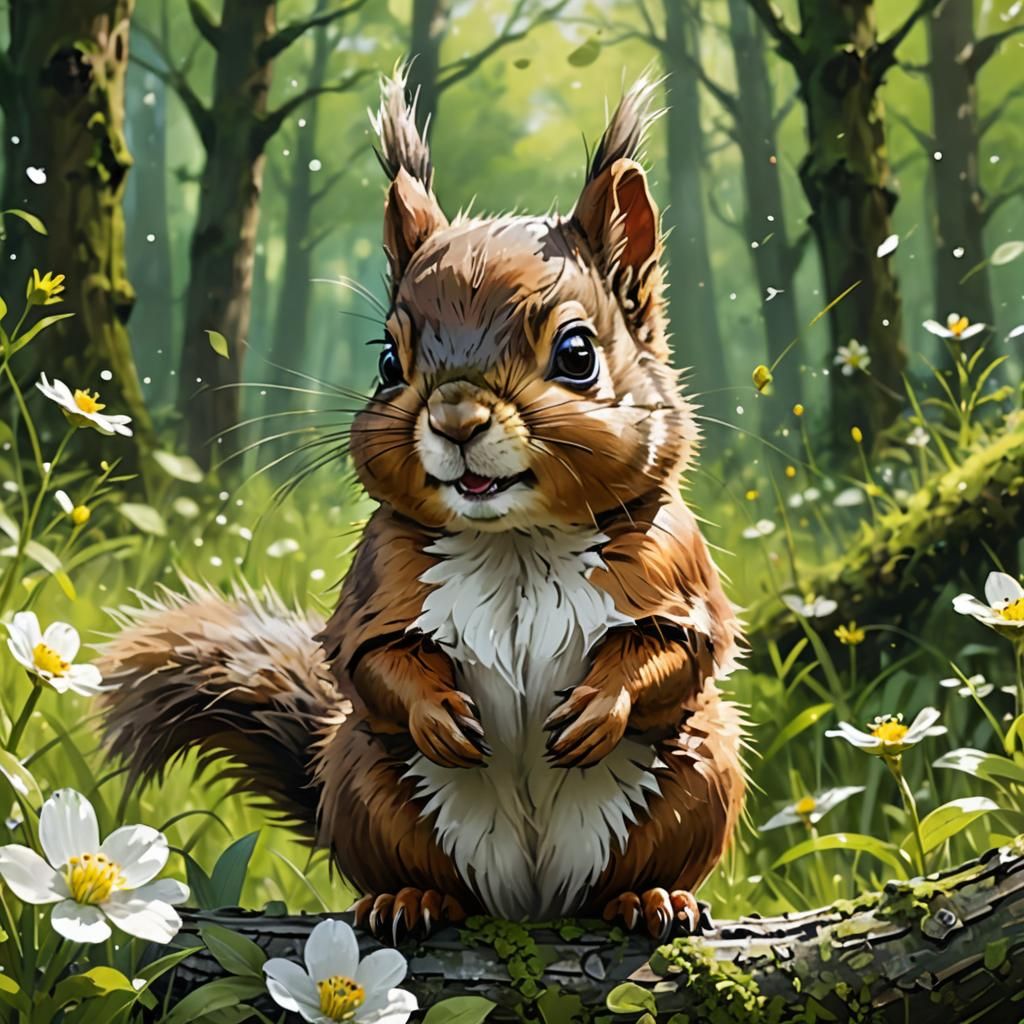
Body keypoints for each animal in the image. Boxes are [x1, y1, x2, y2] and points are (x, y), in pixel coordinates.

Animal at [99, 72, 745, 945]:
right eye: (386, 360)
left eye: (577, 354)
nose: (456, 420)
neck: (515, 542)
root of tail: (532, 899)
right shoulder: (382, 582)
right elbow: (371, 660)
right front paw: (439, 716)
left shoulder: (671, 567)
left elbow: (675, 650)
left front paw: (595, 710)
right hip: (366, 782)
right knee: (421, 869)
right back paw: (408, 899)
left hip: (701, 772)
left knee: (640, 862)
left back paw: (651, 897)